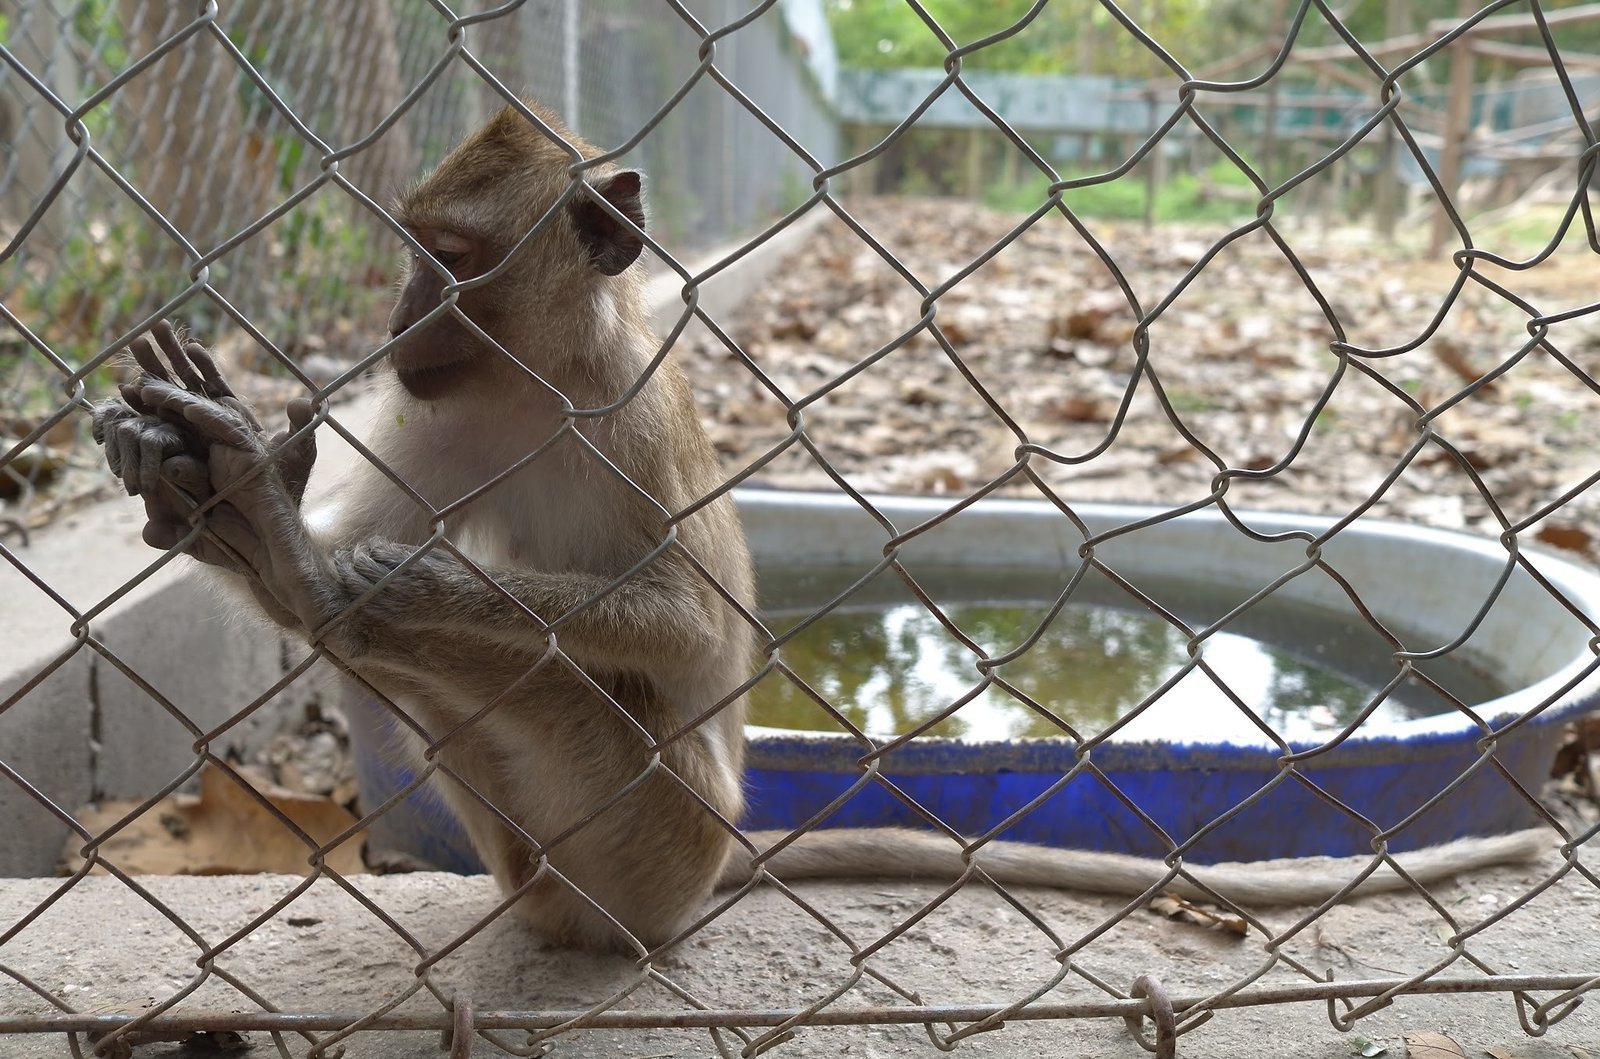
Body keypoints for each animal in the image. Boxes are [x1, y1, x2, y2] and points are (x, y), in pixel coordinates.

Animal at [92, 100, 1548, 954]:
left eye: (450, 264)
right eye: (411, 254)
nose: (398, 321)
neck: (532, 382)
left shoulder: (625, 416)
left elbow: (682, 635)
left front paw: (409, 582)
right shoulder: (424, 412)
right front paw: (254, 509)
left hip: (656, 840)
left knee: (542, 689)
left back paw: (306, 568)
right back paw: (247, 524)